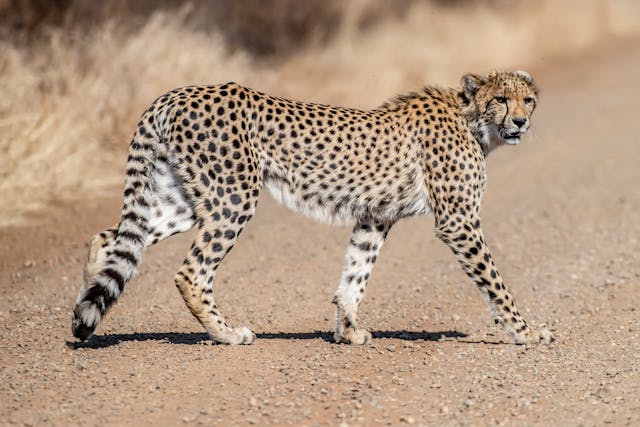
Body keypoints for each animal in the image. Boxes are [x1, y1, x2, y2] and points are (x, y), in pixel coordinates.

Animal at [72, 71, 556, 348]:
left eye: (528, 100)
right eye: (501, 99)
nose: (520, 122)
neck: (474, 121)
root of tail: (178, 92)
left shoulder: (375, 216)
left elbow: (355, 274)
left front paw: (348, 330)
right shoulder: (459, 222)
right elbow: (497, 285)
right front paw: (526, 331)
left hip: (190, 197)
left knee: (112, 238)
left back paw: (83, 310)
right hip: (233, 196)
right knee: (191, 272)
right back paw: (226, 333)